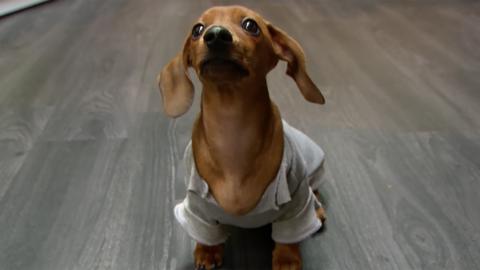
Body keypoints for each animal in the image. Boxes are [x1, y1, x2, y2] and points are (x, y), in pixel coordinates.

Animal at [159, 4, 328, 270]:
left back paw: (318, 210)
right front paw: (207, 251)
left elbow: (288, 236)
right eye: (197, 29)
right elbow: (206, 233)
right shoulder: (197, 208)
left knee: (316, 192)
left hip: (315, 169)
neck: (233, 131)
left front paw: (287, 259)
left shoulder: (297, 202)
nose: (216, 35)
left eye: (251, 25)